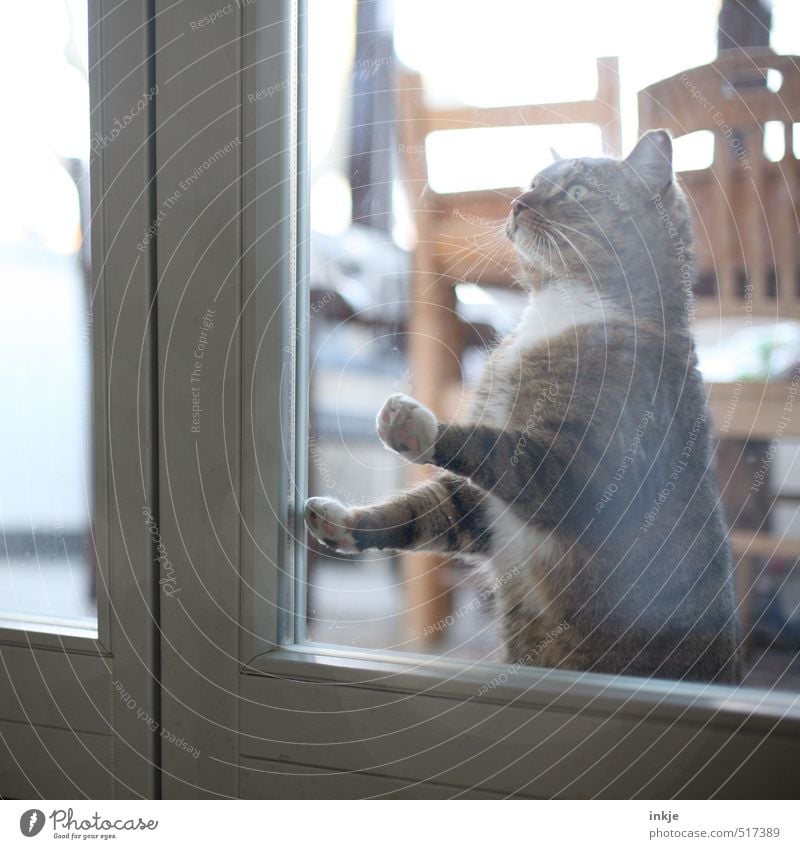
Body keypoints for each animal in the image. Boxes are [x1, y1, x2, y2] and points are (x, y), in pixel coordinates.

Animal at [304, 134, 740, 688]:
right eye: (534, 182)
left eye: (576, 191)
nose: (517, 202)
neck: (562, 309)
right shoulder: (482, 511)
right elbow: (427, 509)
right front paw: (344, 522)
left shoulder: (584, 475)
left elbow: (496, 449)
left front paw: (418, 426)